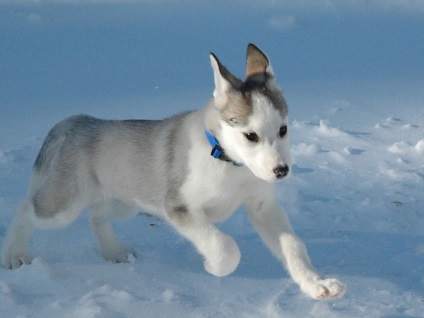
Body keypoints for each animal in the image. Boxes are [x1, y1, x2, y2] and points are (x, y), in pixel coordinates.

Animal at [0, 43, 344, 300]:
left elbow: (293, 246)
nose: (281, 171)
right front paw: (213, 267)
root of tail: (79, 121)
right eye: (251, 136)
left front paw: (317, 284)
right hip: (64, 205)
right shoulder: (179, 207)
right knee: (26, 208)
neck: (227, 161)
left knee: (96, 215)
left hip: (126, 199)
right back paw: (15, 255)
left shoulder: (262, 206)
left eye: (283, 130)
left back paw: (114, 252)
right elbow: (225, 246)